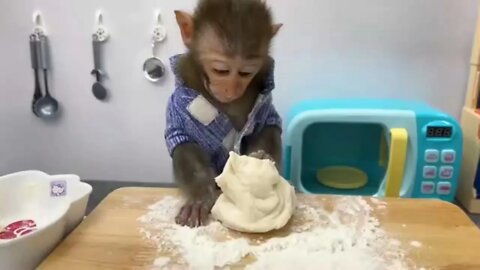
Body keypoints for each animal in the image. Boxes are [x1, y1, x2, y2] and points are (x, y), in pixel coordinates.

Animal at [165, 0, 284, 228]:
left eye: (246, 73)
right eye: (221, 70)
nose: (232, 89)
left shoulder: (265, 102)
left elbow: (268, 125)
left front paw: (262, 157)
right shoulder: (180, 104)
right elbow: (183, 141)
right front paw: (200, 197)